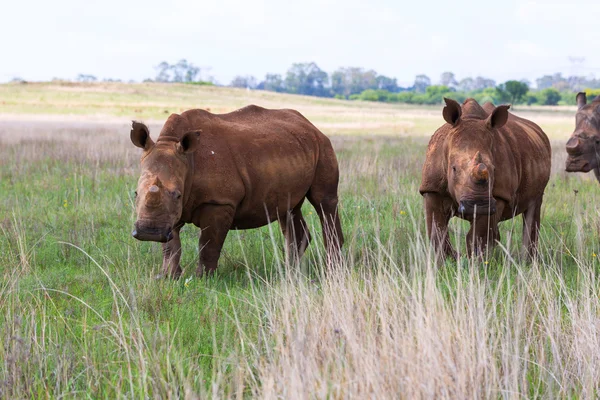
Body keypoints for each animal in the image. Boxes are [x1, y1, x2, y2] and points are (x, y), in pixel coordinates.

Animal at [129, 104, 342, 276]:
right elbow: (171, 246)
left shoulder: (219, 202)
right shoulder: (169, 214)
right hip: (294, 148)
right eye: (136, 193)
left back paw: (332, 269)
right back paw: (290, 271)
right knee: (288, 209)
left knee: (324, 202)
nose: (149, 233)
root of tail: (310, 124)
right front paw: (168, 277)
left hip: (323, 145)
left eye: (178, 195)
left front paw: (203, 279)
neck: (187, 161)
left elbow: (208, 245)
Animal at [420, 98, 552, 258]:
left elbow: (478, 236)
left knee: (534, 206)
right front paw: (448, 260)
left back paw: (527, 260)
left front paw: (474, 261)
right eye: (454, 169)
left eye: (494, 169)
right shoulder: (432, 189)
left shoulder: (498, 195)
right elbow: (437, 232)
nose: (478, 205)